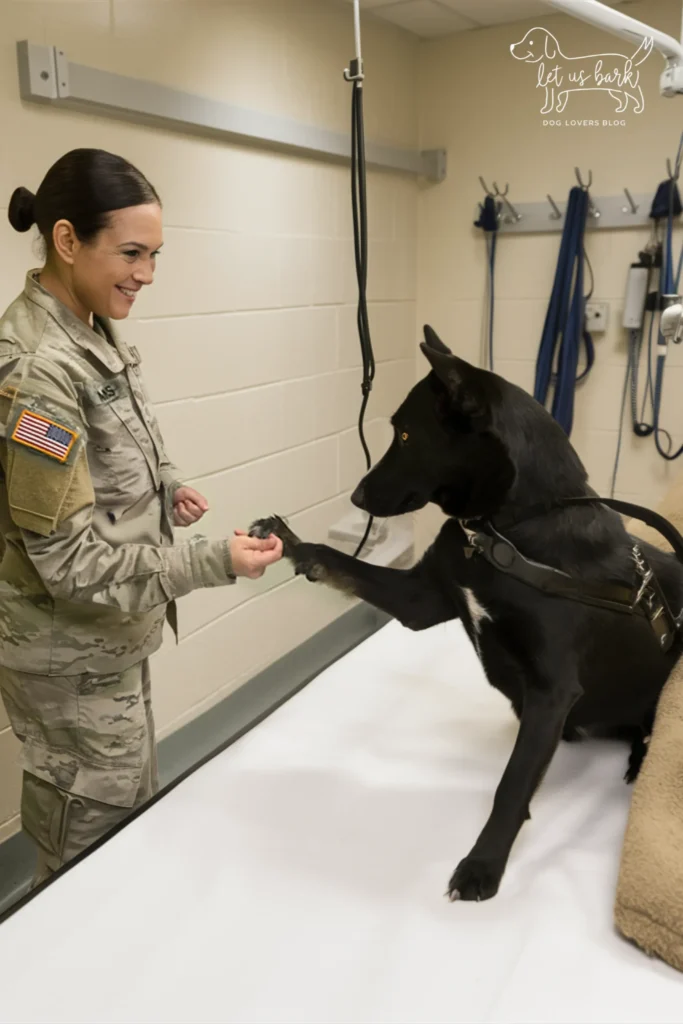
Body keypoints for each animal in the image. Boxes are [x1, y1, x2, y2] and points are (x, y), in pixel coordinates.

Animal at [250, 323, 683, 901]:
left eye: (405, 436)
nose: (357, 496)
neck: (502, 532)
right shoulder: (421, 599)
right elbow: (339, 560)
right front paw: (291, 541)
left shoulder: (553, 691)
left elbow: (512, 783)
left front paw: (484, 864)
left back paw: (640, 757)